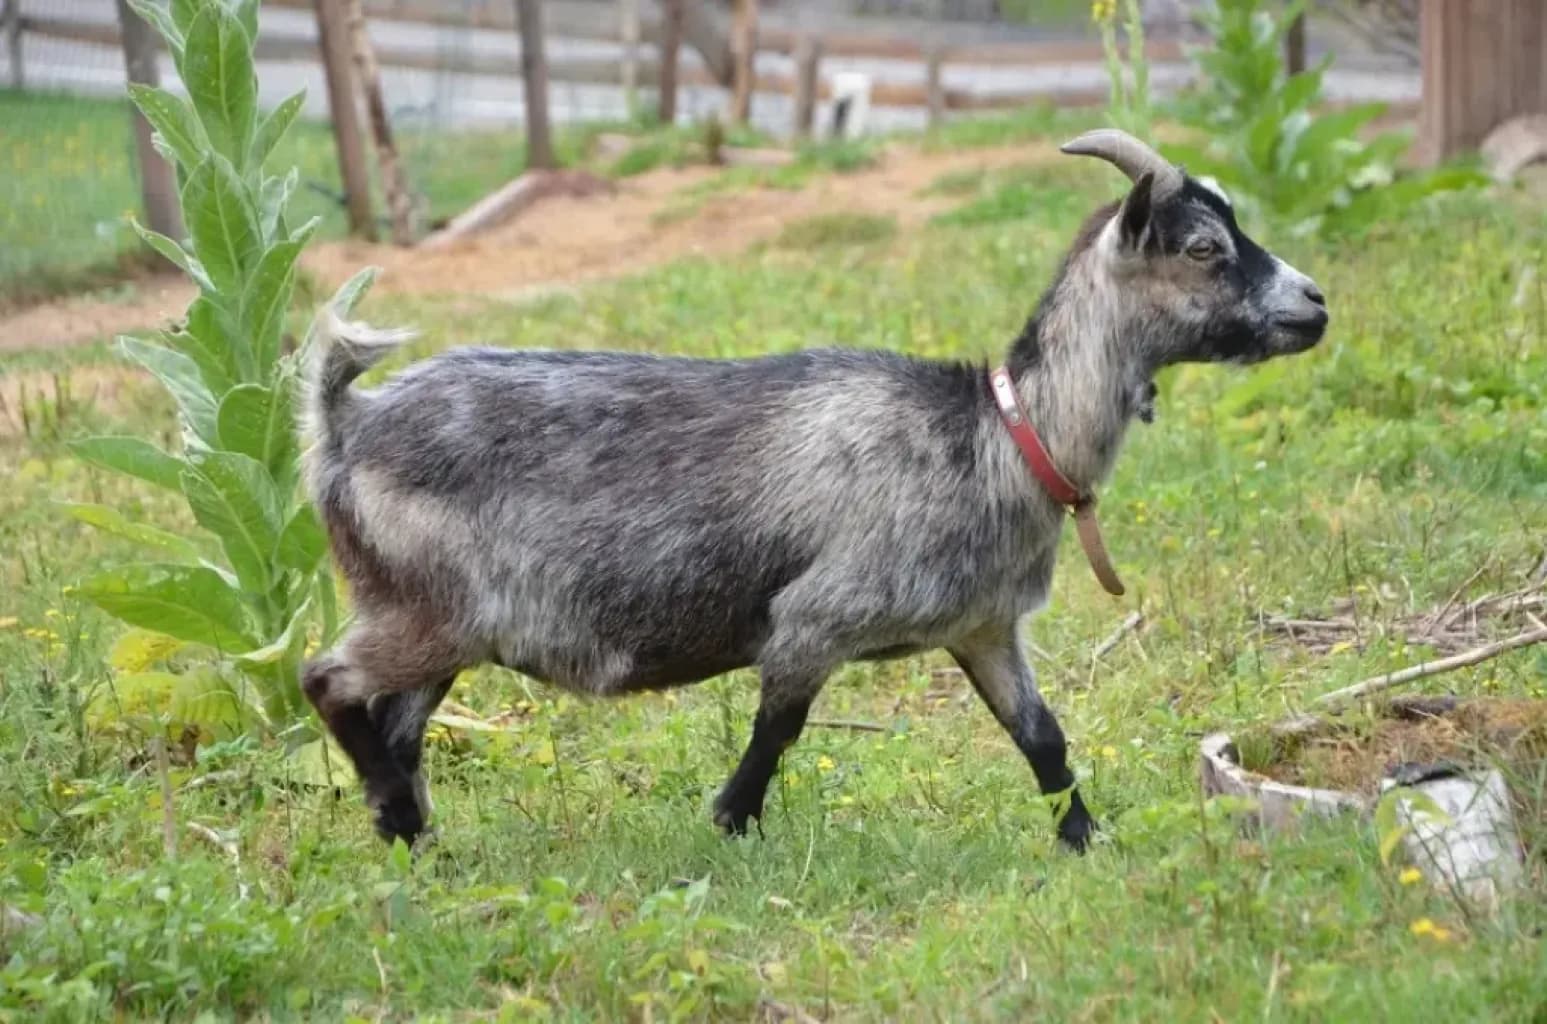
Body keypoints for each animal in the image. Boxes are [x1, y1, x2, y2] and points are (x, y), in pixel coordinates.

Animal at [298, 132, 1330, 853]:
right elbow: (778, 729)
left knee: (396, 722)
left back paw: (412, 836)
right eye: (1202, 248)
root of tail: (345, 425)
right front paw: (729, 822)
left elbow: (1041, 738)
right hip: (428, 610)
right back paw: (396, 812)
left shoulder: (983, 627)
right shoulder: (814, 619)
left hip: (434, 624)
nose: (1314, 304)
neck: (998, 438)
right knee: (327, 680)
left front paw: (1087, 841)